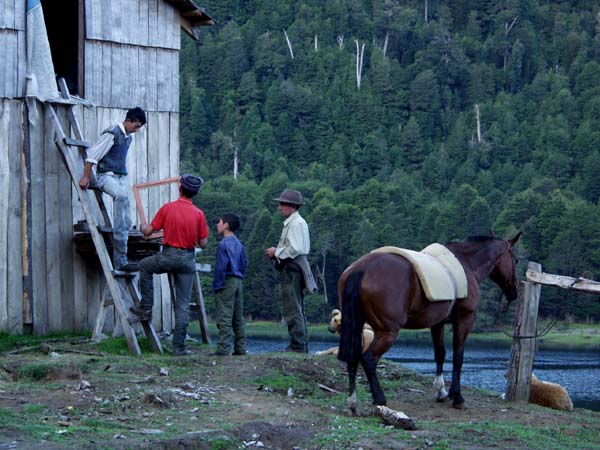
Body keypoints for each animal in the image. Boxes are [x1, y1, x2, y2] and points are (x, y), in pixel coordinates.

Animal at [338, 234, 520, 414]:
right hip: (387, 332)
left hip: (356, 326)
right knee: (369, 359)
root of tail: (361, 269)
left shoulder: (437, 323)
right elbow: (458, 357)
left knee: (353, 358)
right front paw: (457, 397)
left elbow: (440, 353)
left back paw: (353, 403)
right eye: (516, 260)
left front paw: (440, 392)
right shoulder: (464, 320)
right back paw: (379, 400)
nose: (514, 291)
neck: (466, 264)